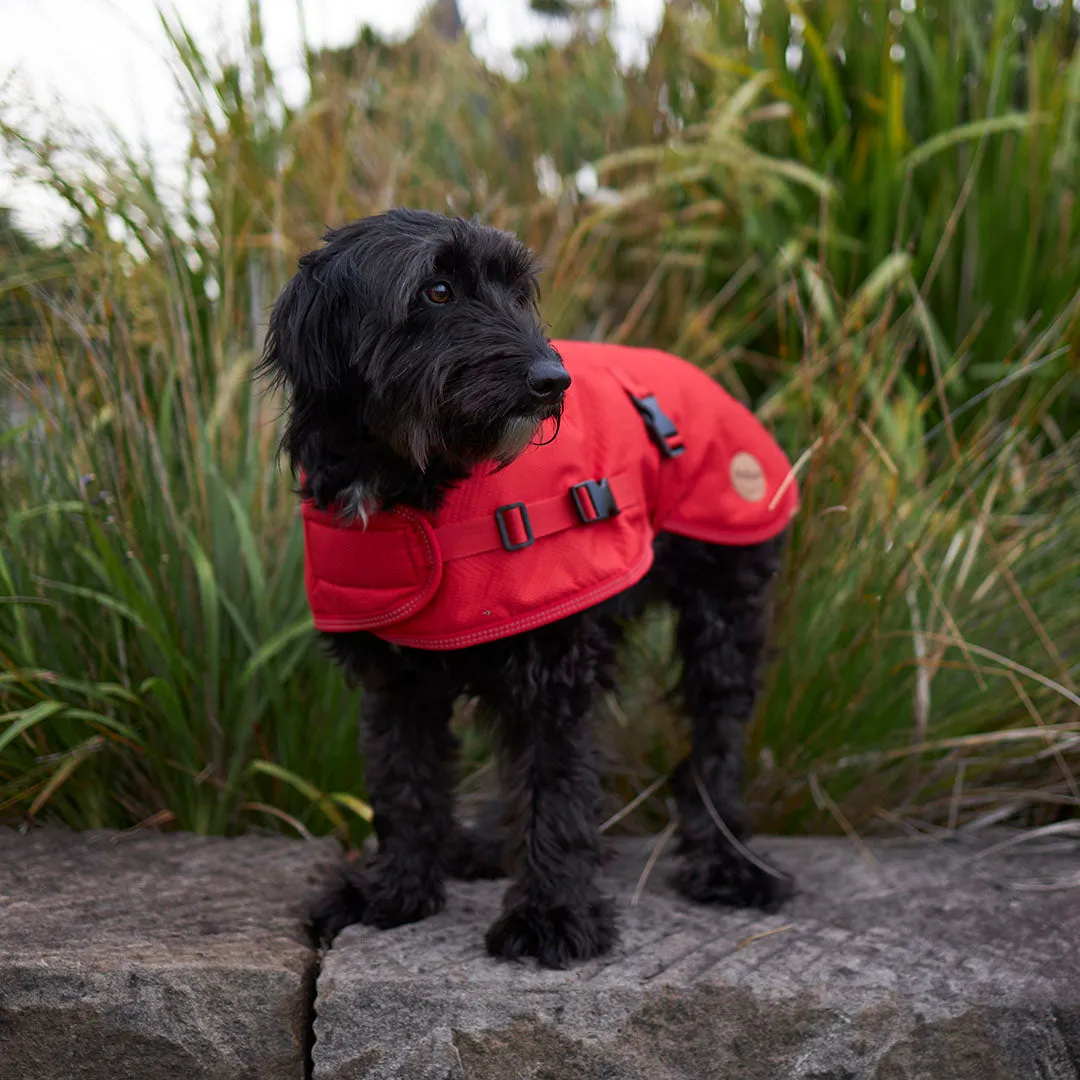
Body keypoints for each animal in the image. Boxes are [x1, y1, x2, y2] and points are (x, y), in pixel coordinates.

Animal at [257, 206, 790, 967]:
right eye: (438, 289)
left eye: (518, 292)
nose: (553, 380)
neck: (416, 482)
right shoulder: (394, 673)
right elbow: (403, 782)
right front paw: (393, 892)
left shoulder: (555, 663)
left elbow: (555, 784)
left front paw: (552, 914)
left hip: (723, 604)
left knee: (717, 735)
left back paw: (726, 862)